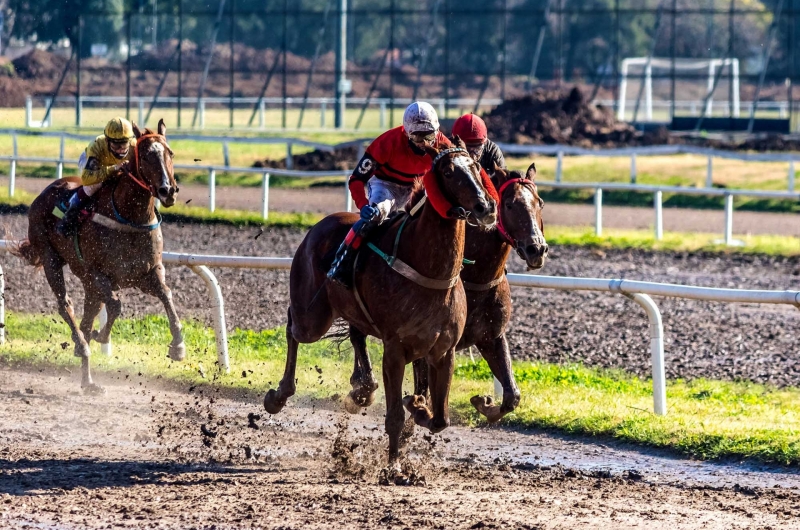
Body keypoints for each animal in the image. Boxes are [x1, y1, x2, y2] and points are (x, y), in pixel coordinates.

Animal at [13, 120, 185, 392]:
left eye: (170, 153)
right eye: (146, 155)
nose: (168, 190)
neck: (129, 217)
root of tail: (46, 191)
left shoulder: (147, 273)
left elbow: (166, 294)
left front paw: (178, 346)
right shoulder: (98, 274)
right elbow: (115, 305)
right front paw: (100, 336)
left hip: (87, 283)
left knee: (86, 318)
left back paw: (88, 380)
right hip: (53, 260)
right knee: (65, 305)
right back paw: (82, 345)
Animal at [266, 142, 496, 468]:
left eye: (476, 167)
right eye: (449, 172)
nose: (485, 207)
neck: (431, 272)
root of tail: (320, 225)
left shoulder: (443, 351)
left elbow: (441, 419)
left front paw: (419, 406)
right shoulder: (395, 349)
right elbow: (395, 417)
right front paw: (395, 467)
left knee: (356, 333)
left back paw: (363, 388)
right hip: (312, 317)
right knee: (293, 327)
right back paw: (279, 395)